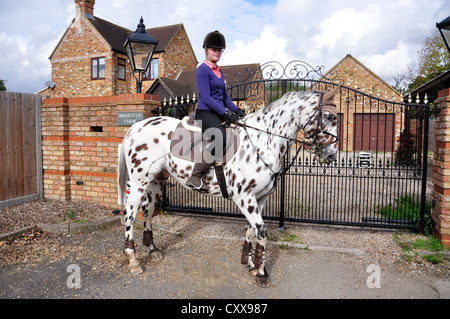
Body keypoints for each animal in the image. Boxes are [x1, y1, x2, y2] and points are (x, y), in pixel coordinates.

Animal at [118, 87, 340, 288]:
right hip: (138, 184)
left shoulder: (260, 198)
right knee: (130, 215)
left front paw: (251, 265)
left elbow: (251, 231)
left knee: (148, 213)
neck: (261, 143)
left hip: (156, 182)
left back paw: (153, 249)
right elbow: (261, 232)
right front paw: (262, 273)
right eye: (329, 116)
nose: (331, 155)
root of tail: (136, 126)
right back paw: (133, 260)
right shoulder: (244, 197)